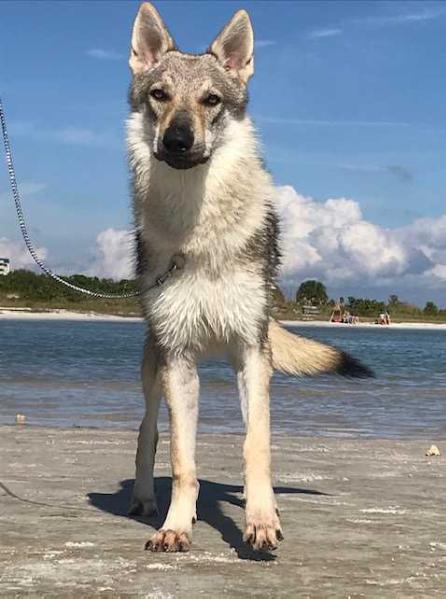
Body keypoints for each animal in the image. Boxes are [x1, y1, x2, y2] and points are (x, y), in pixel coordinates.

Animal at [124, 2, 370, 552]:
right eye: (159, 95)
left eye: (211, 100)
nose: (177, 140)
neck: (200, 230)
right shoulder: (180, 359)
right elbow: (183, 461)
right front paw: (175, 525)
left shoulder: (252, 356)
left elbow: (256, 445)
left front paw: (260, 521)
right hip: (155, 370)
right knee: (149, 432)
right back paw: (147, 501)